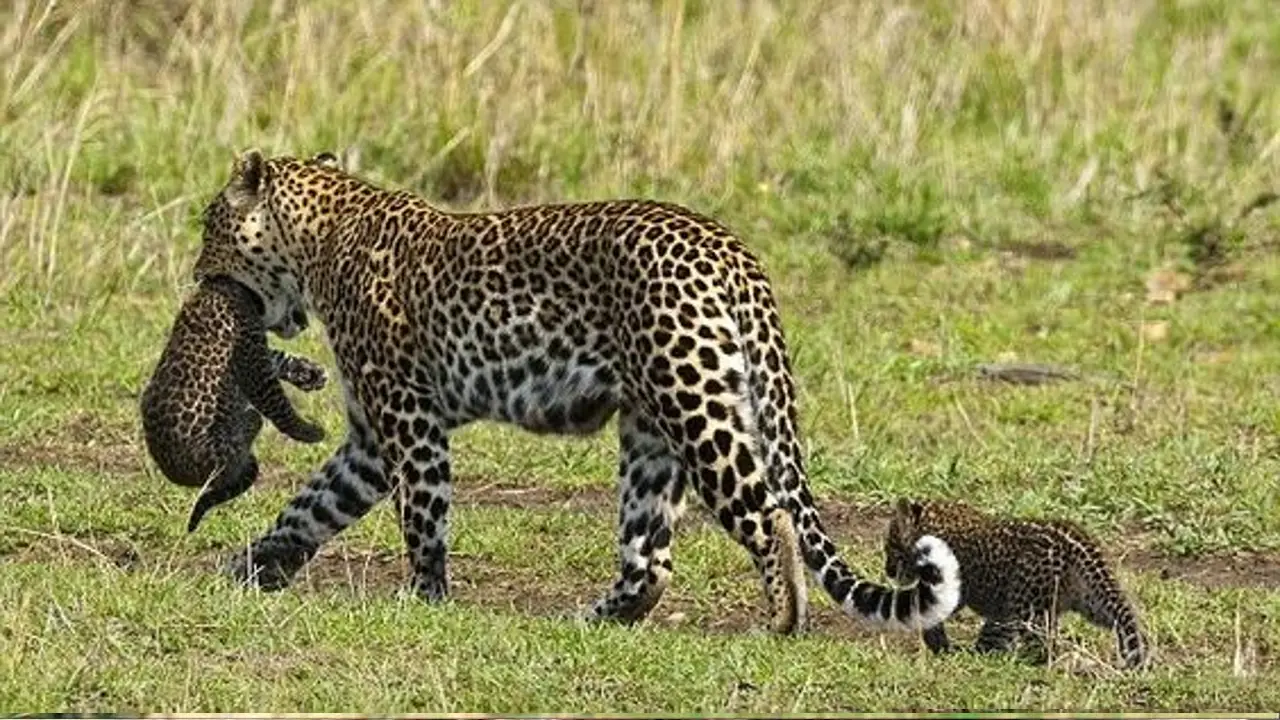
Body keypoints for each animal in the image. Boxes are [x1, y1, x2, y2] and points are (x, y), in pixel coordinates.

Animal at [140, 271, 330, 530]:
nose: (305, 323)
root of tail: (172, 473)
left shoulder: (256, 350)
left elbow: (277, 359)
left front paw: (310, 374)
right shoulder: (253, 360)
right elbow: (276, 403)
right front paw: (310, 432)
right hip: (215, 449)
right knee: (238, 449)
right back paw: (248, 422)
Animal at [183, 147, 962, 632]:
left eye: (211, 225)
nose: (194, 275)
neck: (318, 240)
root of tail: (729, 247)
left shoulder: (408, 419)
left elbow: (423, 517)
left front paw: (424, 600)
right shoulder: (374, 439)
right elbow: (310, 506)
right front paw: (252, 565)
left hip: (696, 405)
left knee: (768, 516)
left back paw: (783, 620)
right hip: (650, 430)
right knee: (651, 559)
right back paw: (595, 620)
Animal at [885, 491, 1146, 666]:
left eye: (890, 546)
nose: (887, 570)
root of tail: (1077, 539)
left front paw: (938, 643)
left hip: (1027, 606)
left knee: (1040, 646)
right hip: (1092, 601)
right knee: (1126, 623)